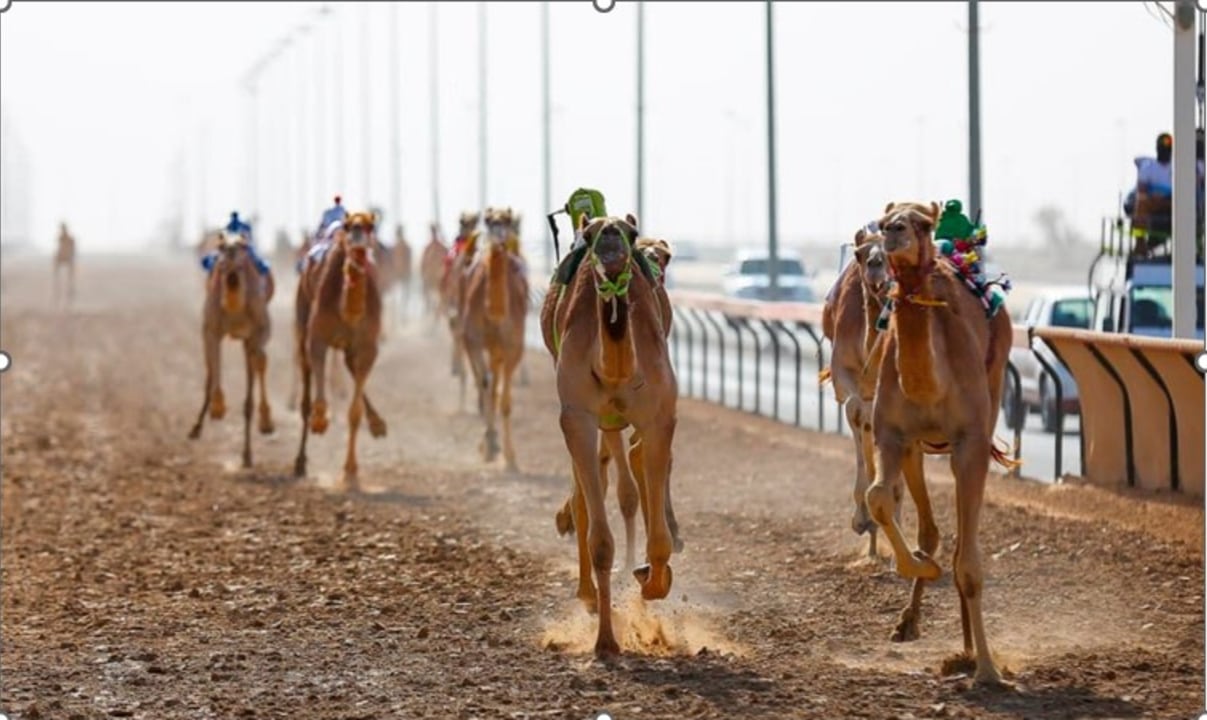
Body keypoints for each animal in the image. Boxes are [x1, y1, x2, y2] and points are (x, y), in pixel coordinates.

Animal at [187, 233, 276, 468]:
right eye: (220, 246)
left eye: (244, 246)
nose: (231, 259)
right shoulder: (210, 330)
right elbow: (214, 364)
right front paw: (217, 408)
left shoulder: (260, 329)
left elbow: (260, 361)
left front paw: (266, 423)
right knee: (210, 370)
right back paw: (197, 427)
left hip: (249, 339)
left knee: (256, 367)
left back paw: (248, 453)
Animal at [292, 211, 388, 490]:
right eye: (348, 225)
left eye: (371, 225)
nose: (356, 232)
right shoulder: (317, 338)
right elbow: (318, 400)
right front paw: (320, 421)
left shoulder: (367, 347)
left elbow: (354, 413)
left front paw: (350, 474)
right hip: (302, 315)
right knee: (305, 385)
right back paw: (299, 463)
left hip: (351, 349)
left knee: (350, 368)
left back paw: (378, 425)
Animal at [459, 207, 530, 469]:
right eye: (489, 221)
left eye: (507, 220)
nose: (499, 239)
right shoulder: (472, 342)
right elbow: (485, 385)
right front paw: (489, 447)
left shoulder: (513, 347)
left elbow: (505, 401)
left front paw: (510, 458)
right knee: (487, 383)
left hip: (499, 350)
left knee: (496, 383)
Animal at [539, 214, 678, 657]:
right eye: (590, 234)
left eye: (630, 235)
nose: (613, 247)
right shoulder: (578, 416)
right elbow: (600, 539)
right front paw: (605, 641)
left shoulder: (660, 416)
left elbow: (659, 538)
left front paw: (652, 582)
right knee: (586, 494)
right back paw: (587, 594)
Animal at [864, 200, 1015, 687]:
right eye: (883, 219)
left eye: (924, 223)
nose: (894, 233)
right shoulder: (893, 434)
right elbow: (878, 498)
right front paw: (919, 566)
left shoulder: (970, 442)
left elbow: (969, 562)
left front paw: (986, 668)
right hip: (917, 448)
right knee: (930, 530)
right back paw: (913, 623)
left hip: (989, 397)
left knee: (964, 543)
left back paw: (967, 650)